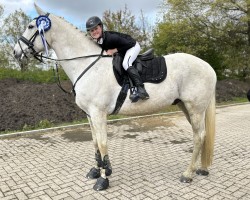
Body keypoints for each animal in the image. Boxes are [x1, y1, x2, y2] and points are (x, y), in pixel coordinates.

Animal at [13, 3, 217, 191]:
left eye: (30, 26)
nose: (16, 52)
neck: (87, 64)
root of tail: (207, 66)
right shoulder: (90, 115)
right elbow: (95, 142)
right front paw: (96, 171)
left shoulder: (98, 113)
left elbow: (103, 143)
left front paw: (104, 178)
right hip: (186, 107)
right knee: (202, 135)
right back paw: (201, 169)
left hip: (195, 108)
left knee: (199, 136)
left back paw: (188, 174)